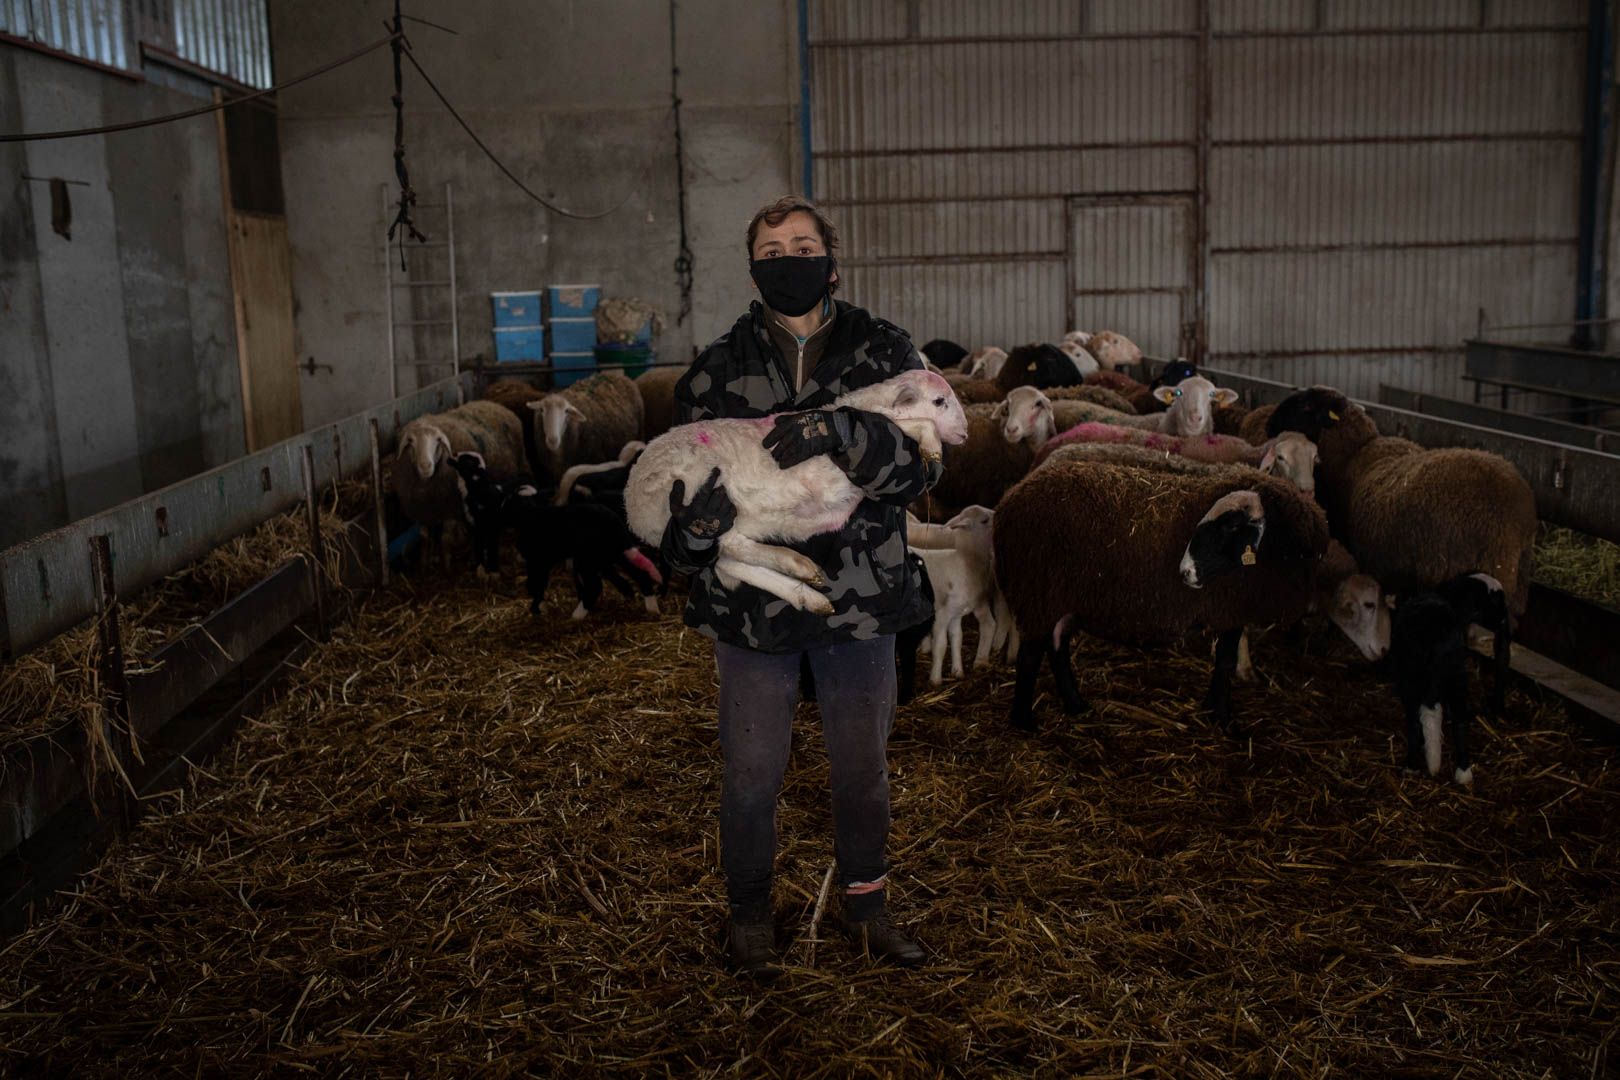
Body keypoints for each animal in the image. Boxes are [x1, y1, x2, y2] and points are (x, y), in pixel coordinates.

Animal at [625, 367, 965, 612]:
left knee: (730, 562)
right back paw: (796, 564)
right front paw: (932, 447)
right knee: (734, 548)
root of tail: (633, 508)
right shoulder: (840, 469)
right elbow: (909, 423)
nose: (964, 433)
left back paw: (808, 594)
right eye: (939, 401)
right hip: (700, 502)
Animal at [991, 456, 1321, 735]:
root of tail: (1009, 502)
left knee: (1057, 648)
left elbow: (1225, 661)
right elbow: (1226, 662)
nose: (1184, 572)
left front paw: (1213, 709)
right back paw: (1024, 722)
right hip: (1038, 594)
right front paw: (1220, 716)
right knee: (1030, 657)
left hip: (1061, 599)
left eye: (1228, 528)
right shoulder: (1230, 609)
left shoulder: (1232, 610)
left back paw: (1076, 705)